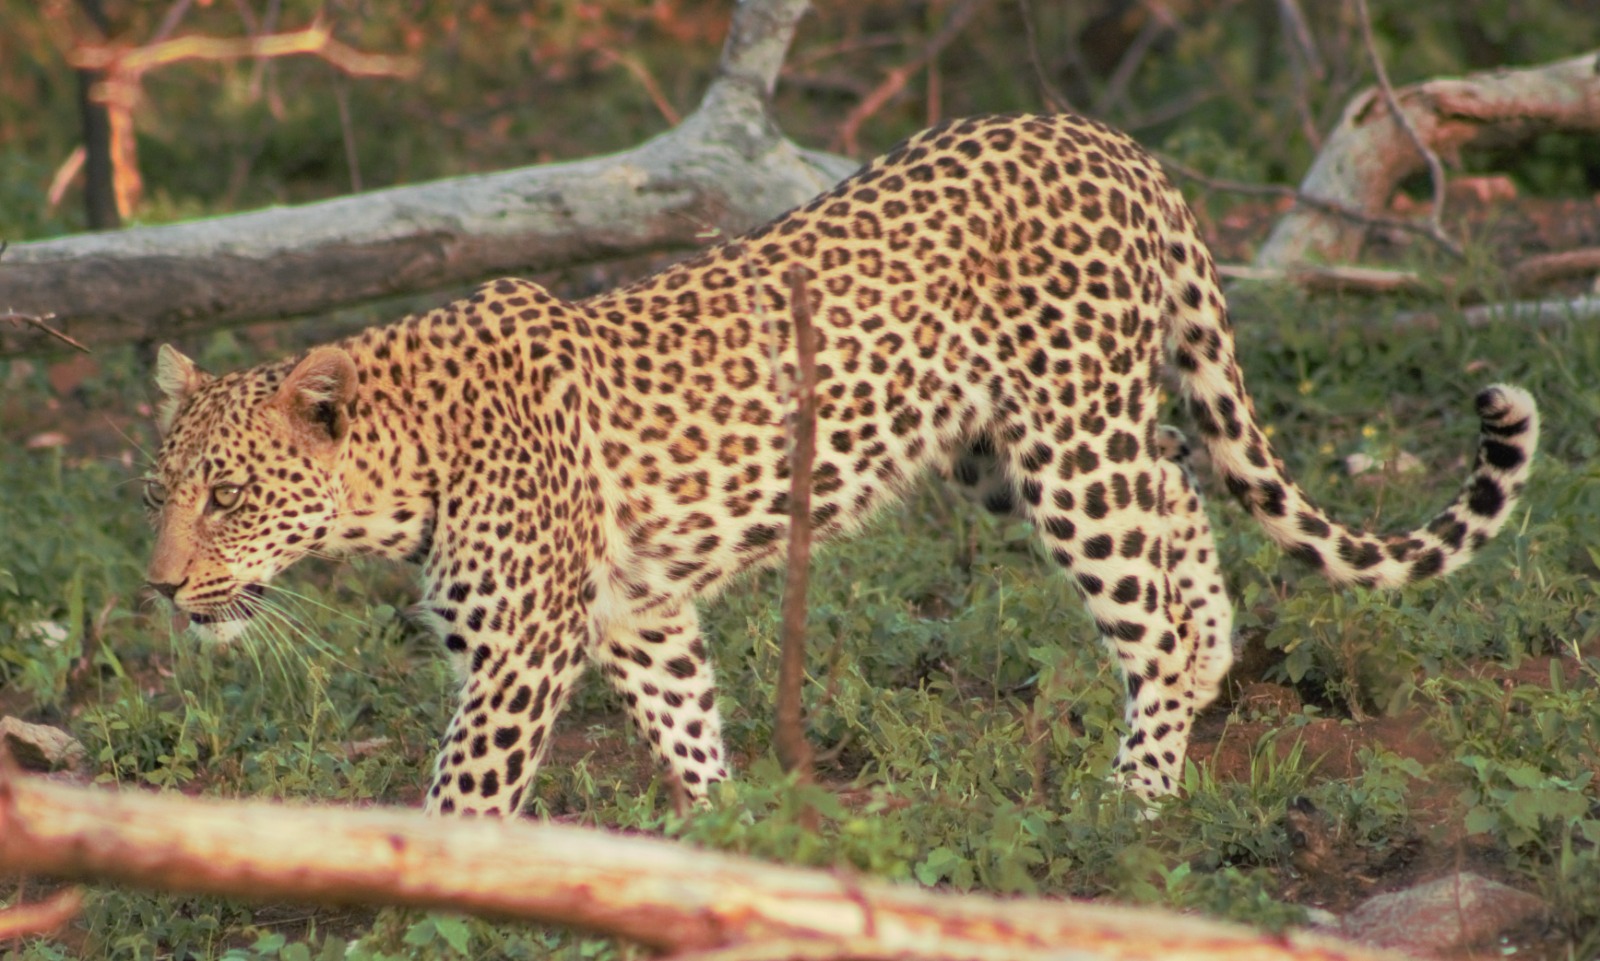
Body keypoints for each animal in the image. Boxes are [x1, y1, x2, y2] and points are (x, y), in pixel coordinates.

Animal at [143, 112, 1539, 817]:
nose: (157, 589)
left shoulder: (519, 654)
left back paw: (1132, 799)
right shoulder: (638, 610)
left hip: (1065, 441)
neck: (402, 469)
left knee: (1148, 606)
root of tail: (1110, 141)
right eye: (157, 496)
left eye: (229, 496)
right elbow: (685, 724)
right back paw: (1195, 700)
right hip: (1010, 444)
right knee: (1185, 513)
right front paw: (732, 848)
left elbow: (462, 798)